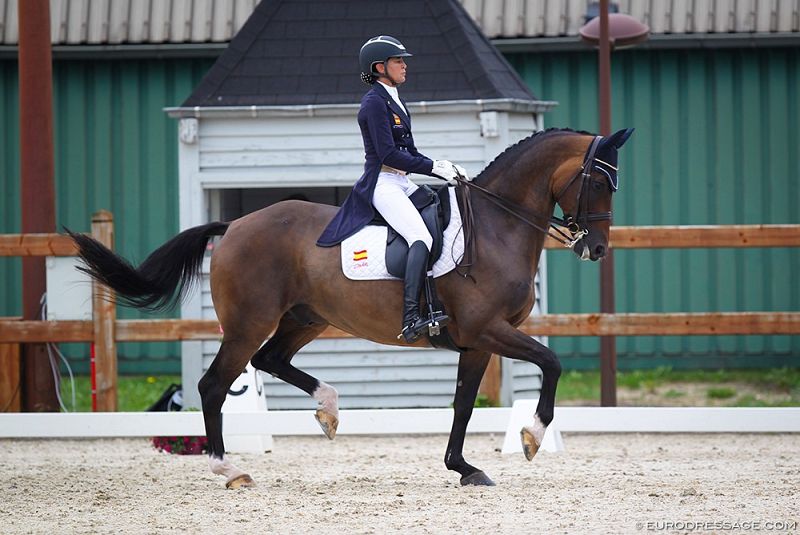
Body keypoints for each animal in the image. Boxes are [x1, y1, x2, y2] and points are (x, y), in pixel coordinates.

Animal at [68, 127, 634, 488]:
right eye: (598, 181)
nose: (596, 249)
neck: (498, 226)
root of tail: (236, 225)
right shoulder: (487, 330)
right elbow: (551, 362)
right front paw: (532, 435)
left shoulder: (476, 342)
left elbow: (464, 404)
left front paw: (463, 467)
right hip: (250, 323)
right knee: (215, 384)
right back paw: (229, 469)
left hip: (305, 318)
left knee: (271, 360)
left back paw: (329, 408)